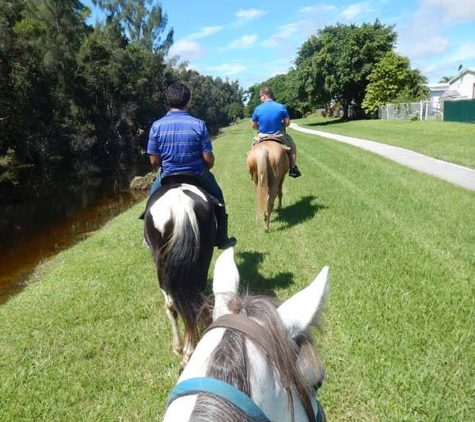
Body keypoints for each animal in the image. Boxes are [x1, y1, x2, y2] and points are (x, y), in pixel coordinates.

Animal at [143, 173, 218, 368]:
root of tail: (182, 206)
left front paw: (177, 348)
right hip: (203, 256)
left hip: (162, 266)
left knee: (173, 304)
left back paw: (184, 350)